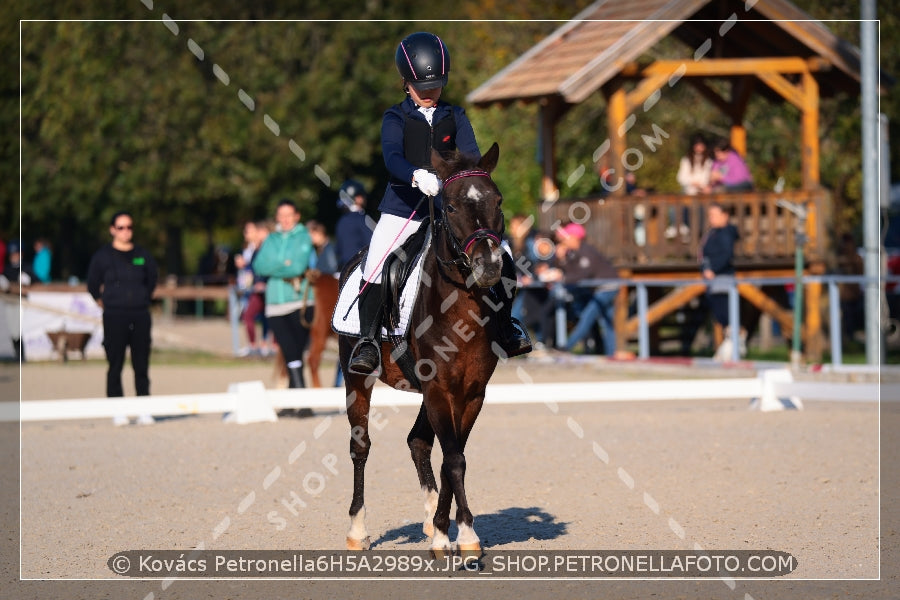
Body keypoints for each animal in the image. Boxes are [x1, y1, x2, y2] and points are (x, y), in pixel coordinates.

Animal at [338, 143, 510, 556]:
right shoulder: (439, 389)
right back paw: (357, 530)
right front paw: (464, 536)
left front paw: (448, 531)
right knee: (360, 446)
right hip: (356, 377)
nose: (488, 266)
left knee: (418, 442)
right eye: (450, 206)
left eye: (497, 200)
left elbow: (452, 456)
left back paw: (432, 522)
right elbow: (454, 458)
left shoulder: (470, 392)